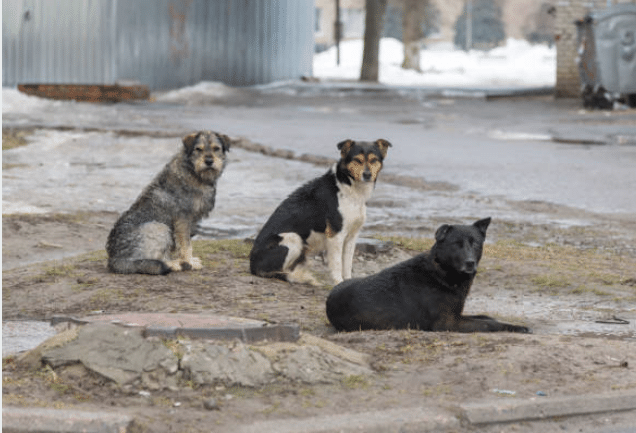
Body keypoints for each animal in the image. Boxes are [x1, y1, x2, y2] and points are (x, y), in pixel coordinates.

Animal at [105, 130, 230, 276]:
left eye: (216, 148)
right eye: (198, 149)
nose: (209, 161)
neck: (194, 173)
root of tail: (115, 260)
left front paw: (189, 260)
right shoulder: (182, 219)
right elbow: (185, 244)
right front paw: (189, 261)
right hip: (159, 227)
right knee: (151, 260)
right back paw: (174, 264)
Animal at [250, 138, 390, 286]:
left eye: (374, 160)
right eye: (357, 160)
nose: (367, 175)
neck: (348, 187)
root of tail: (252, 265)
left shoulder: (352, 236)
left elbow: (347, 264)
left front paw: (347, 281)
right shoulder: (336, 235)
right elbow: (337, 263)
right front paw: (338, 282)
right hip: (293, 237)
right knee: (276, 272)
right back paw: (297, 277)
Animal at [326, 218, 528, 332]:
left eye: (475, 244)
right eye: (457, 244)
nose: (470, 263)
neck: (441, 274)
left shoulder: (458, 315)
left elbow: (485, 317)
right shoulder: (448, 323)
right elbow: (490, 324)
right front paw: (517, 327)